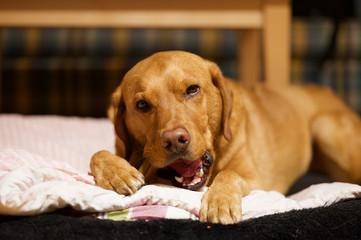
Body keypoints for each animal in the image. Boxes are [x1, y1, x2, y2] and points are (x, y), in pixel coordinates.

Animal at [90, 51, 360, 225]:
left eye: (192, 89)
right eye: (142, 104)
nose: (175, 139)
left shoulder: (257, 180)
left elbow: (230, 173)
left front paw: (220, 200)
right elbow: (97, 154)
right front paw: (118, 173)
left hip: (325, 128)